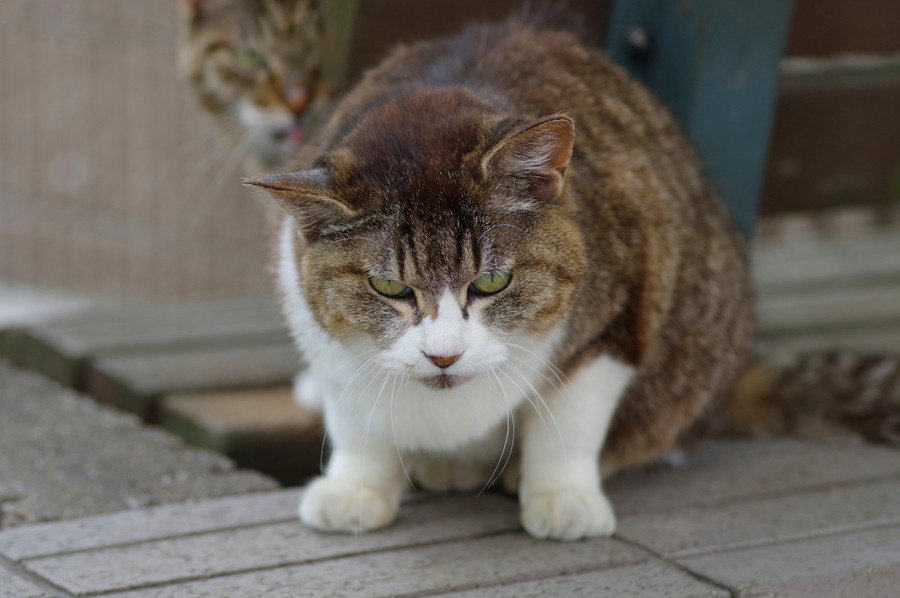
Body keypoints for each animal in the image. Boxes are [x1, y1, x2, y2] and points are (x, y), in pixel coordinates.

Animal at [243, 19, 896, 544]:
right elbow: (355, 415)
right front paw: (357, 485)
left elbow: (572, 419)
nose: (444, 356)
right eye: (390, 290)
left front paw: (562, 496)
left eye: (493, 280)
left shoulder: (622, 307)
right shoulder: (319, 329)